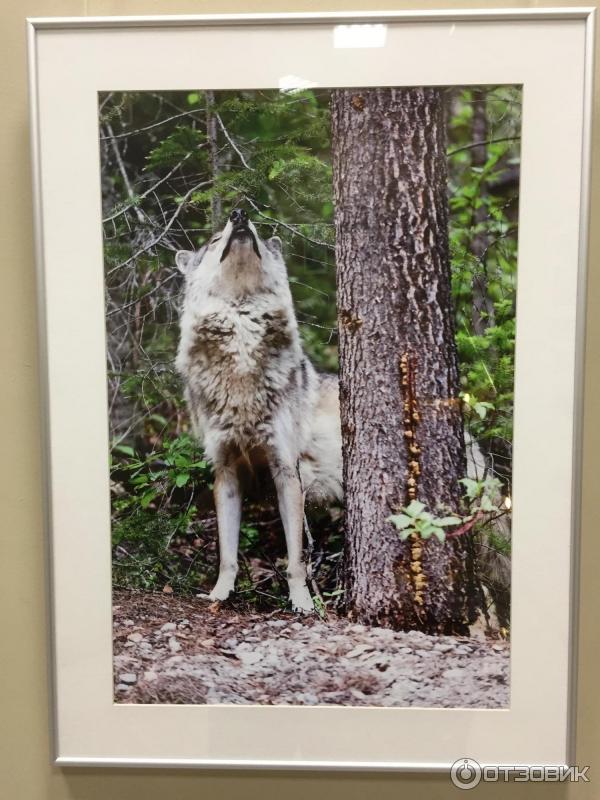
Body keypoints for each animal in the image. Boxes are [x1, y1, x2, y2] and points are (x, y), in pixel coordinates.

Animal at [176, 209, 340, 608]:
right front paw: (220, 593)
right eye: (214, 240)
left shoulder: (287, 470)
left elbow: (296, 558)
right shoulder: (225, 472)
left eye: (260, 236)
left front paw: (302, 602)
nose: (239, 214)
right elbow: (227, 554)